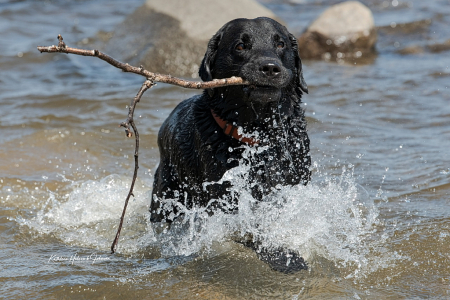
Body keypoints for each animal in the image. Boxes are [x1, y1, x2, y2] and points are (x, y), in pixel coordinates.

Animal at [149, 18, 312, 272]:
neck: (258, 140)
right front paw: (285, 258)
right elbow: (251, 232)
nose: (270, 68)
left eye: (281, 44)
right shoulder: (224, 201)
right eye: (240, 46)